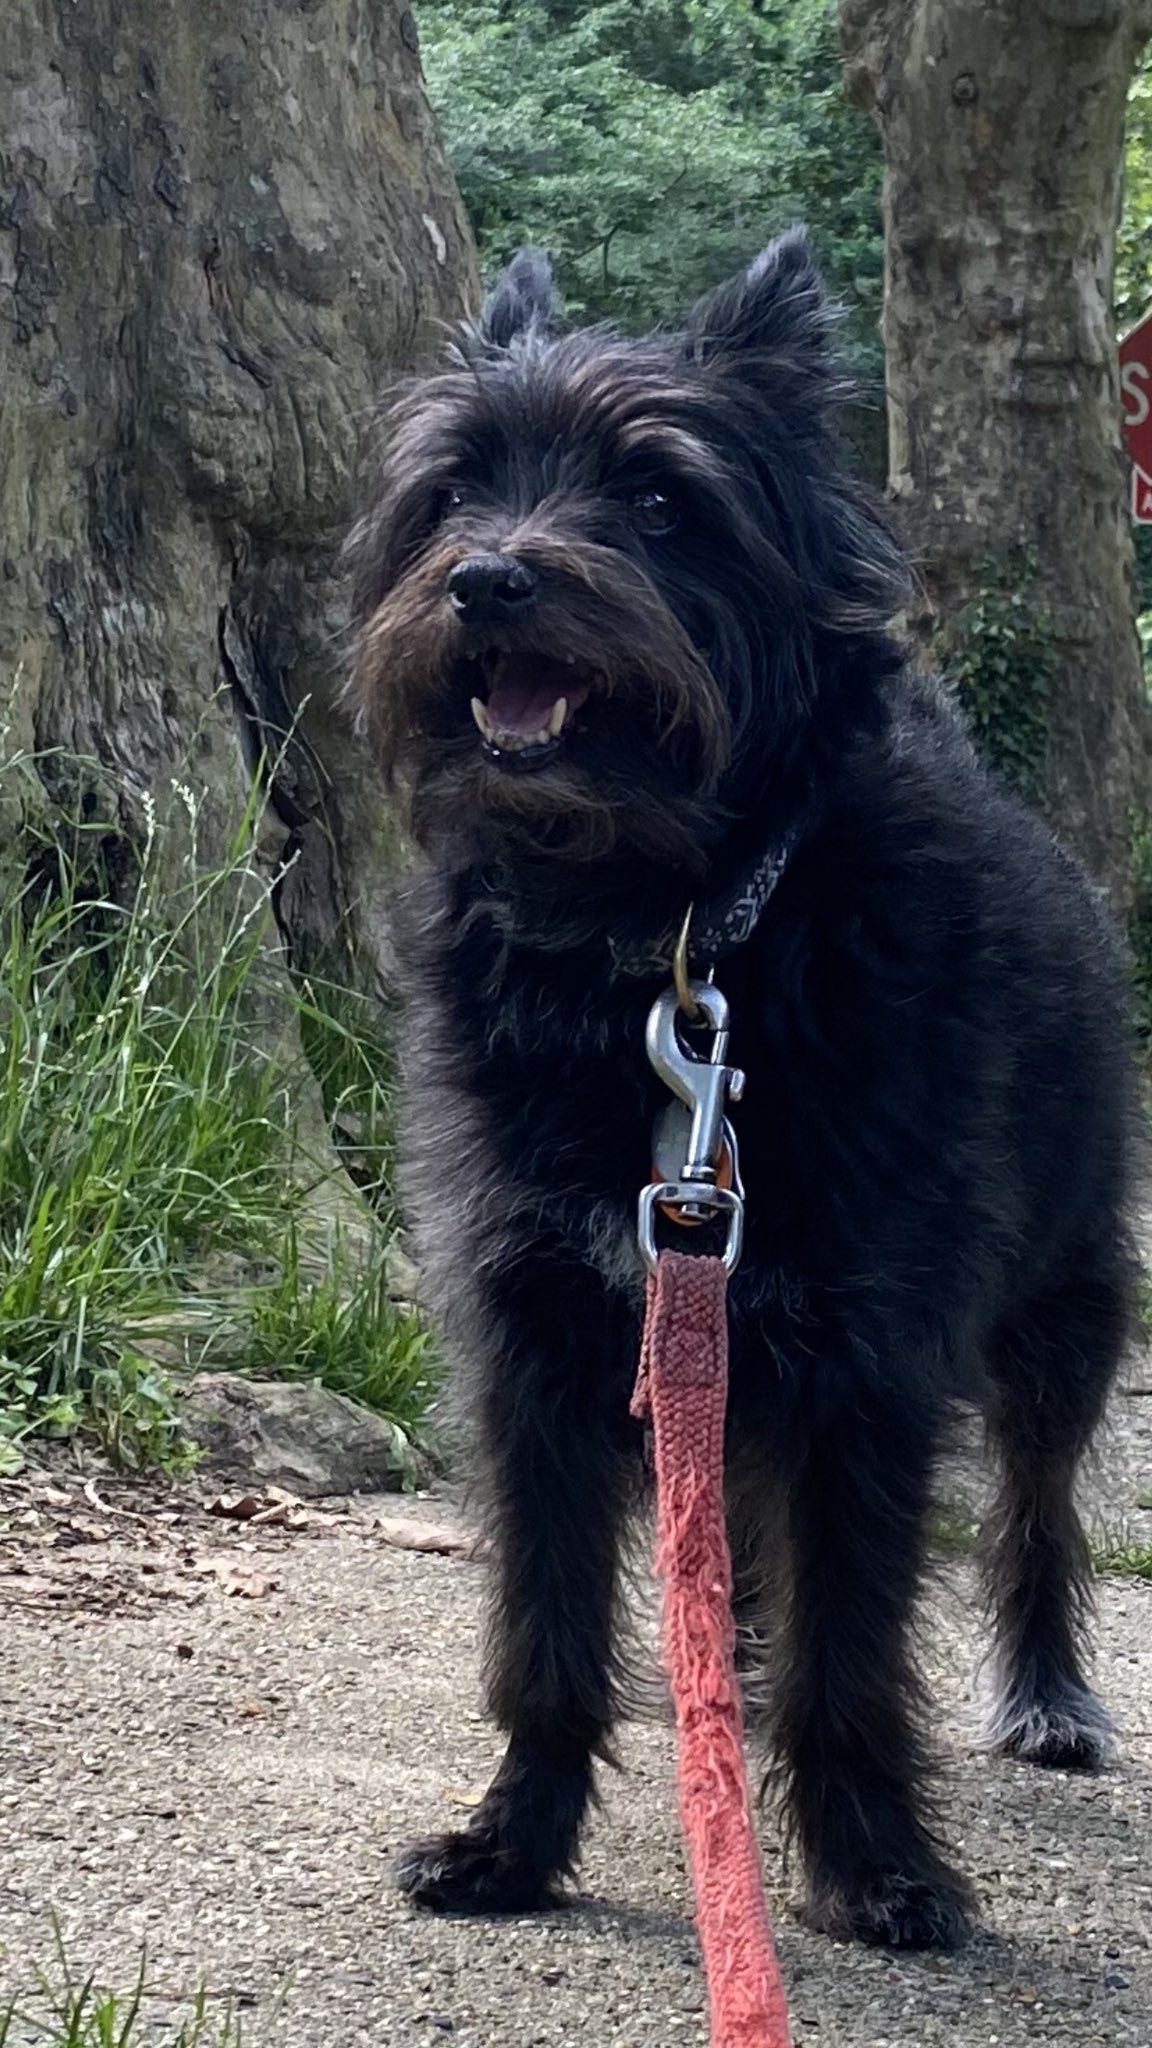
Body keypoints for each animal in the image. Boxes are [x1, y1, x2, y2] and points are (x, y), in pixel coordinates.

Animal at [344, 235, 1131, 1949]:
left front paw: (875, 1863)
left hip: (1066, 1319)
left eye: (657, 497)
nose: (488, 578)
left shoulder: (864, 1361)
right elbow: (548, 1632)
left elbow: (856, 1649)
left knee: (1036, 1517)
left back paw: (1045, 1696)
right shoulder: (534, 1342)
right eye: (456, 488)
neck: (666, 935)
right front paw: (513, 1843)